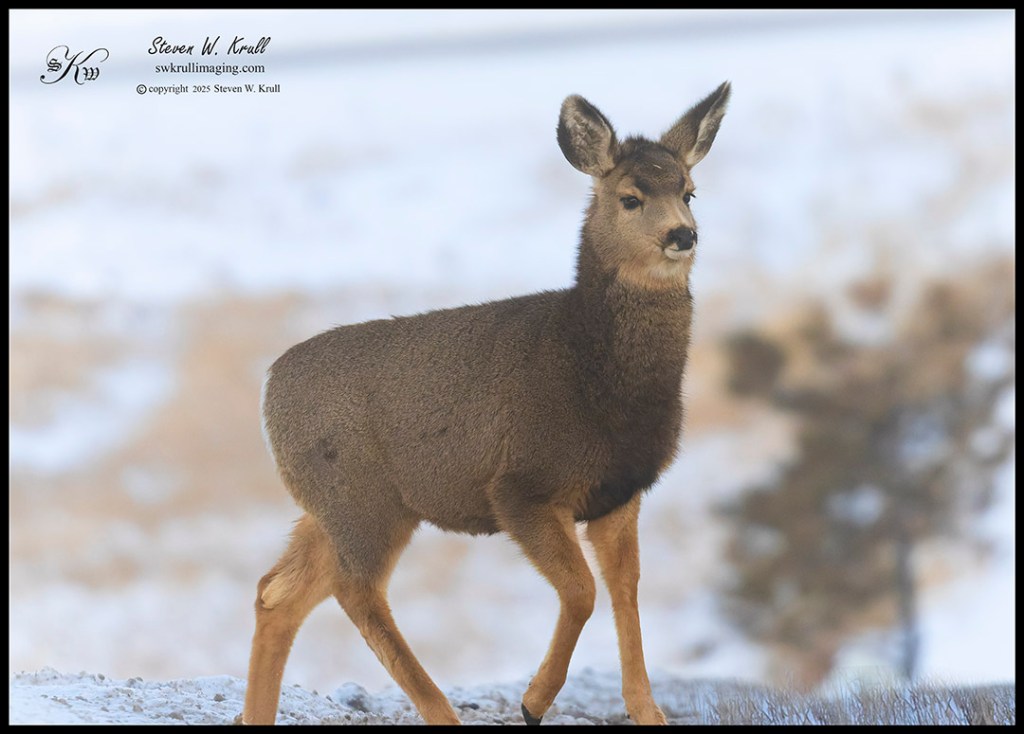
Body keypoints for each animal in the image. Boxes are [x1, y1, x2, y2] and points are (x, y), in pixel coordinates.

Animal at [242, 82, 731, 726]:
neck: (593, 376)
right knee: (355, 591)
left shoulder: (619, 493)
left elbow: (626, 592)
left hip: (331, 507)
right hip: (363, 497)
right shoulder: (521, 486)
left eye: (689, 191)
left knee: (277, 593)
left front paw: (647, 711)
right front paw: (533, 700)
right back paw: (442, 711)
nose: (683, 234)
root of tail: (269, 387)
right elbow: (582, 591)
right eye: (630, 198)